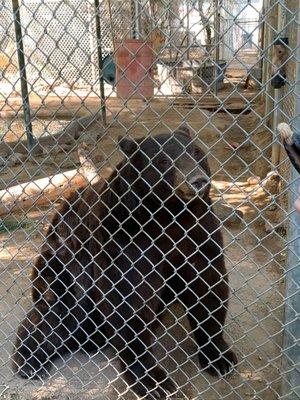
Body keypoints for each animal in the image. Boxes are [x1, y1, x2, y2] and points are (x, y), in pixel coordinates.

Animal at [12, 127, 237, 396]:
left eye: (195, 151)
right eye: (163, 160)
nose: (197, 180)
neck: (167, 216)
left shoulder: (197, 231)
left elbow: (208, 285)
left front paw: (220, 357)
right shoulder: (124, 237)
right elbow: (129, 300)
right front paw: (154, 381)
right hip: (62, 262)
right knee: (55, 309)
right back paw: (30, 360)